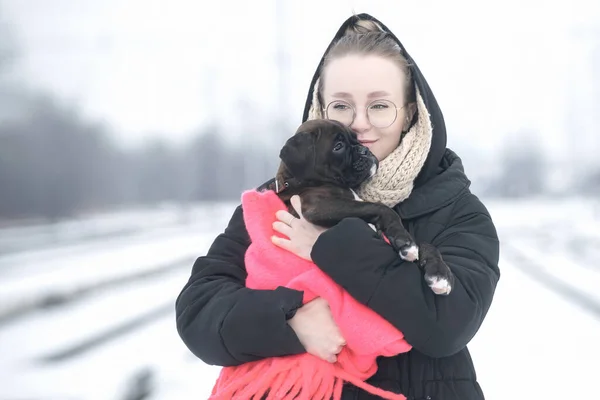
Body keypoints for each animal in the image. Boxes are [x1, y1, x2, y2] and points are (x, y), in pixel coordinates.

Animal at [260, 119, 452, 294]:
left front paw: (440, 275)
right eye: (338, 146)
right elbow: (381, 208)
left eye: (357, 139)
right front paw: (404, 241)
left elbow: (426, 243)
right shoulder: (317, 206)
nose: (364, 150)